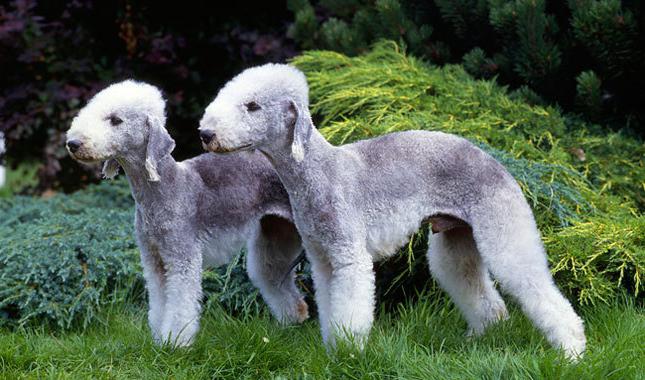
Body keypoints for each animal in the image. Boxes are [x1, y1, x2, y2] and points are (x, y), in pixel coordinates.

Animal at [65, 81, 306, 348]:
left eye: (116, 120)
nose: (73, 144)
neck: (163, 188)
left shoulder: (182, 257)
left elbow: (180, 304)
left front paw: (175, 342)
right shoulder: (153, 259)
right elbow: (160, 303)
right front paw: (159, 339)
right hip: (276, 233)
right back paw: (292, 321)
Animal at [199, 63, 588, 358]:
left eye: (252, 105)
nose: (205, 133)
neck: (318, 172)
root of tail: (495, 160)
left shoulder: (350, 260)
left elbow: (351, 309)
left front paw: (349, 354)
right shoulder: (324, 261)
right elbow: (329, 306)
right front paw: (333, 350)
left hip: (504, 231)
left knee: (536, 286)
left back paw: (572, 351)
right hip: (455, 237)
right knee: (480, 293)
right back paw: (482, 337)